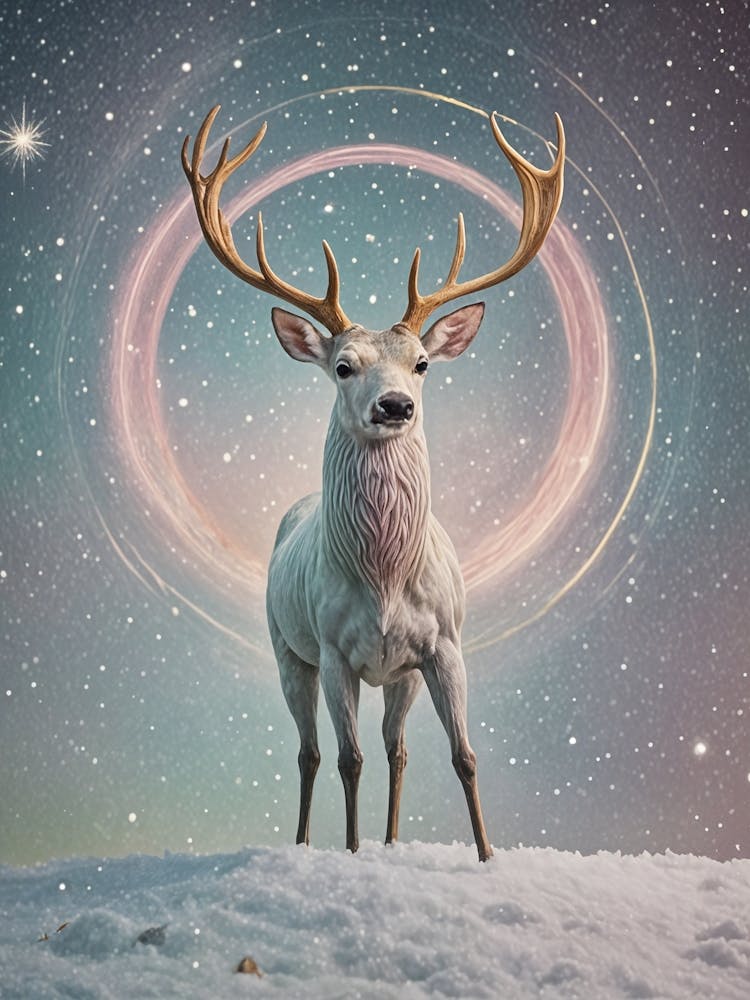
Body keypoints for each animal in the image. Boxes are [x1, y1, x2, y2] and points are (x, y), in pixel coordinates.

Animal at [182, 105, 565, 861]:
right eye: (343, 366)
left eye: (421, 363)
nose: (394, 406)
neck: (386, 577)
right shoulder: (334, 651)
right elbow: (346, 759)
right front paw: (353, 855)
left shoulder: (442, 645)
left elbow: (463, 756)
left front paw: (485, 857)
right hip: (286, 650)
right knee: (310, 753)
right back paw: (308, 845)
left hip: (399, 675)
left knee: (398, 749)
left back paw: (390, 842)